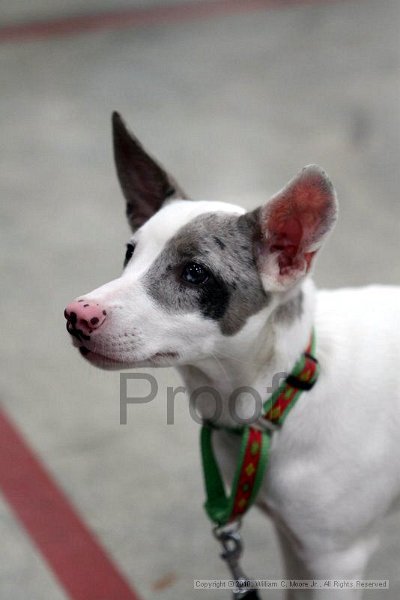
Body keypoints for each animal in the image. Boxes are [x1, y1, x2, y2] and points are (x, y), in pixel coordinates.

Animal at [65, 111, 400, 596]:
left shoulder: (336, 560)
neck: (283, 395)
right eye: (129, 253)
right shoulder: (294, 540)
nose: (77, 315)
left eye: (194, 273)